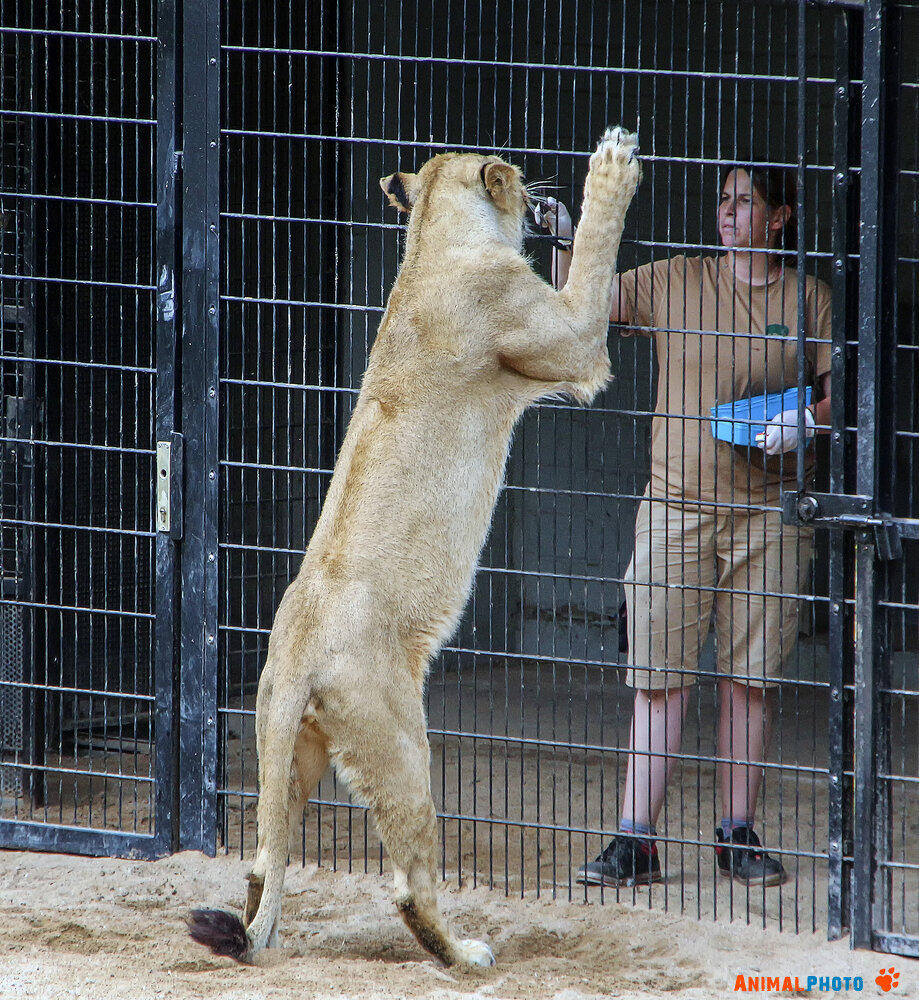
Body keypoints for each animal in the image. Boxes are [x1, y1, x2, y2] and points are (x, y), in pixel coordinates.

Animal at [187, 126, 641, 968]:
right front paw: (610, 168)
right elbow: (598, 264)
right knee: (408, 887)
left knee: (264, 860)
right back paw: (464, 955)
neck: (431, 237)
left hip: (285, 743)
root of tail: (298, 652)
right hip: (400, 742)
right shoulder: (568, 343)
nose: (539, 189)